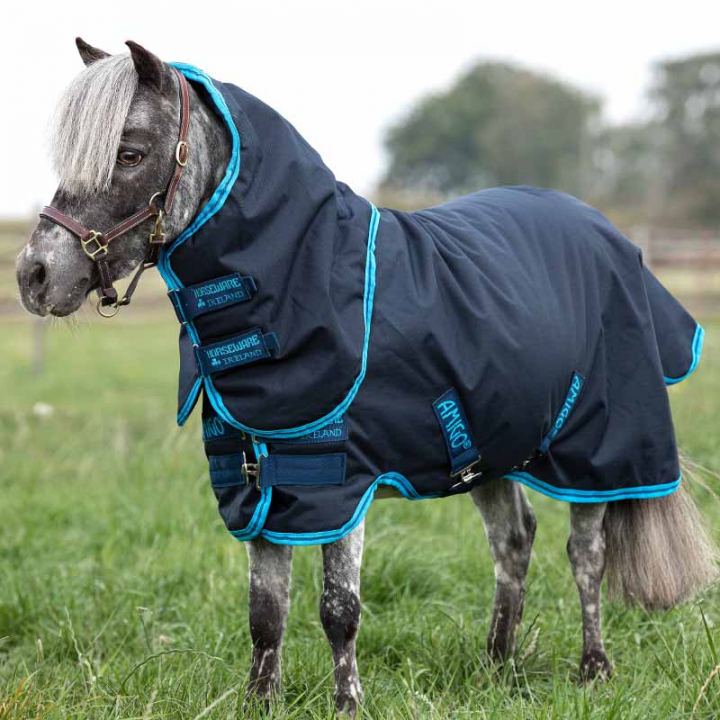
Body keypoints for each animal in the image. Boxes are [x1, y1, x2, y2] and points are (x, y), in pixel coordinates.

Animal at [15, 39, 718, 717]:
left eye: (130, 153)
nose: (34, 275)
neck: (306, 277)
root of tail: (606, 231)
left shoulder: (338, 482)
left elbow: (338, 610)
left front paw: (348, 704)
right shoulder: (260, 483)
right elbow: (265, 612)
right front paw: (258, 703)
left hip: (598, 451)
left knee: (586, 555)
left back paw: (593, 670)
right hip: (490, 444)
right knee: (514, 542)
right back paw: (497, 668)